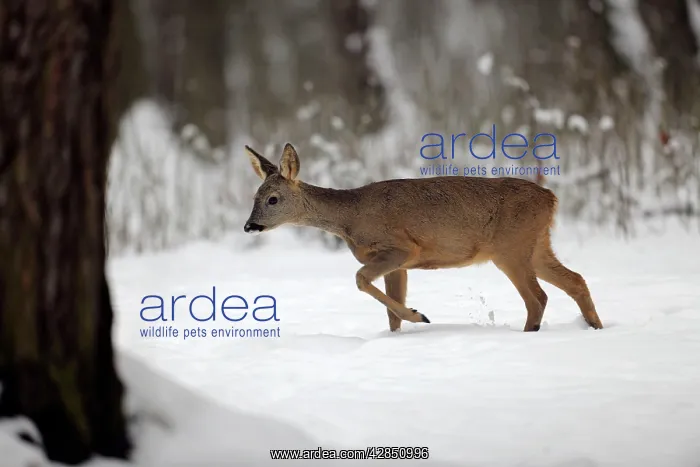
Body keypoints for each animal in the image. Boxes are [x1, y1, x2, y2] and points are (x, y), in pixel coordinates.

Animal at [243, 142, 604, 333]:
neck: (350, 218)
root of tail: (551, 198)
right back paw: (596, 328)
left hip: (510, 248)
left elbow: (360, 279)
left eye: (272, 199)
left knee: (538, 297)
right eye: (254, 196)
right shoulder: (398, 264)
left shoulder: (401, 247)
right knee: (576, 281)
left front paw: (420, 315)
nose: (249, 226)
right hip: (536, 244)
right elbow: (390, 310)